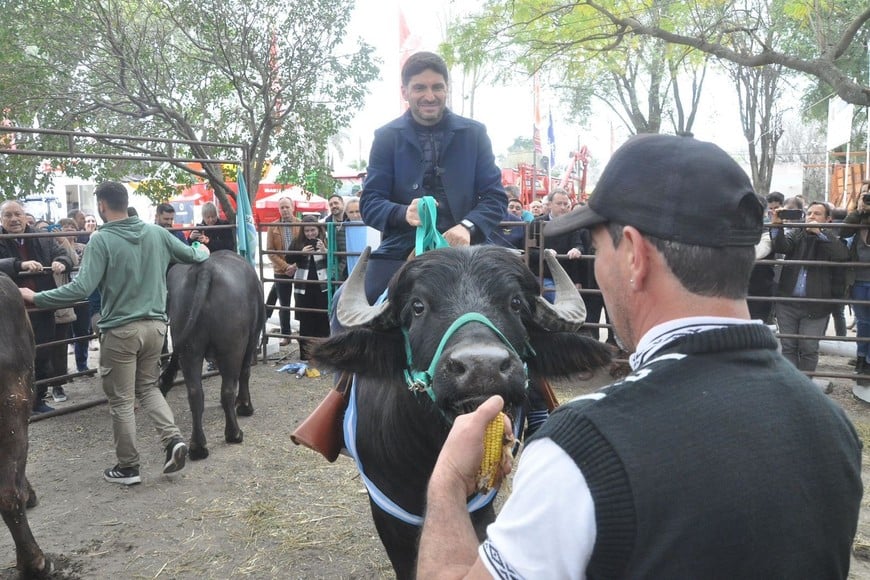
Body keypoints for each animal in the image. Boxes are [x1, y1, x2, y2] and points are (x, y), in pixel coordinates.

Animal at [159, 251, 262, 460]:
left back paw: (198, 447)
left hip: (189, 349)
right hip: (232, 346)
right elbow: (245, 372)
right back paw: (234, 433)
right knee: (228, 389)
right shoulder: (252, 338)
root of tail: (205, 270)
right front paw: (245, 406)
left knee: (195, 394)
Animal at [316, 245, 612, 576]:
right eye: (417, 306)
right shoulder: (387, 514)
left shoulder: (480, 507)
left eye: (516, 303)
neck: (428, 453)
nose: (482, 367)